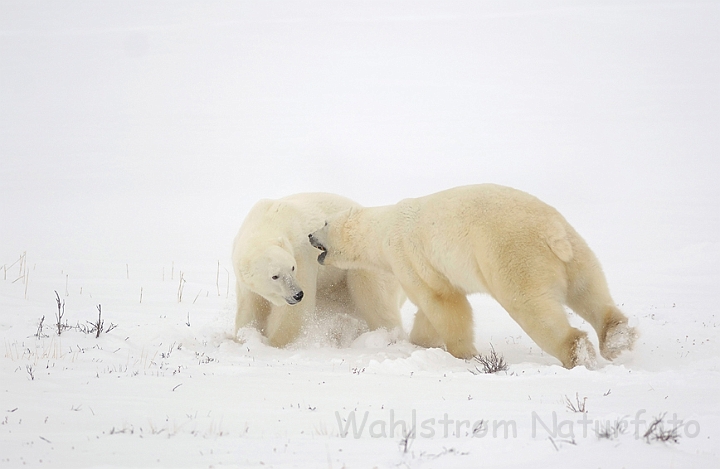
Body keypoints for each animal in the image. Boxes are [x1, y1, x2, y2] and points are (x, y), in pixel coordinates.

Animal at [235, 191, 408, 348]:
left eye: (292, 268)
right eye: (275, 276)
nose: (298, 294)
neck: (268, 223)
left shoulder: (301, 255)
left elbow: (293, 313)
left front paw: (274, 343)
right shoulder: (243, 279)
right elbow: (249, 307)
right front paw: (244, 336)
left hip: (361, 262)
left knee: (375, 299)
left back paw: (386, 336)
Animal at [312, 185, 640, 368]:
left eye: (324, 223)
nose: (310, 236)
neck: (383, 228)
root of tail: (552, 234)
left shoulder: (409, 256)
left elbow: (443, 303)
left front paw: (464, 354)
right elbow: (433, 308)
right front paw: (421, 342)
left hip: (514, 256)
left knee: (532, 307)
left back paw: (576, 353)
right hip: (575, 249)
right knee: (589, 288)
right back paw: (616, 337)